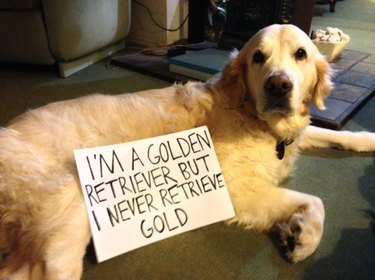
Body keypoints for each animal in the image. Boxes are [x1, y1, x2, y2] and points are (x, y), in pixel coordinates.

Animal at [0, 24, 375, 280]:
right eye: (258, 57)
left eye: (301, 54)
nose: (278, 85)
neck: (257, 120)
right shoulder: (236, 189)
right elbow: (315, 201)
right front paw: (304, 237)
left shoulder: (293, 136)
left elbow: (327, 131)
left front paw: (366, 139)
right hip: (68, 216)